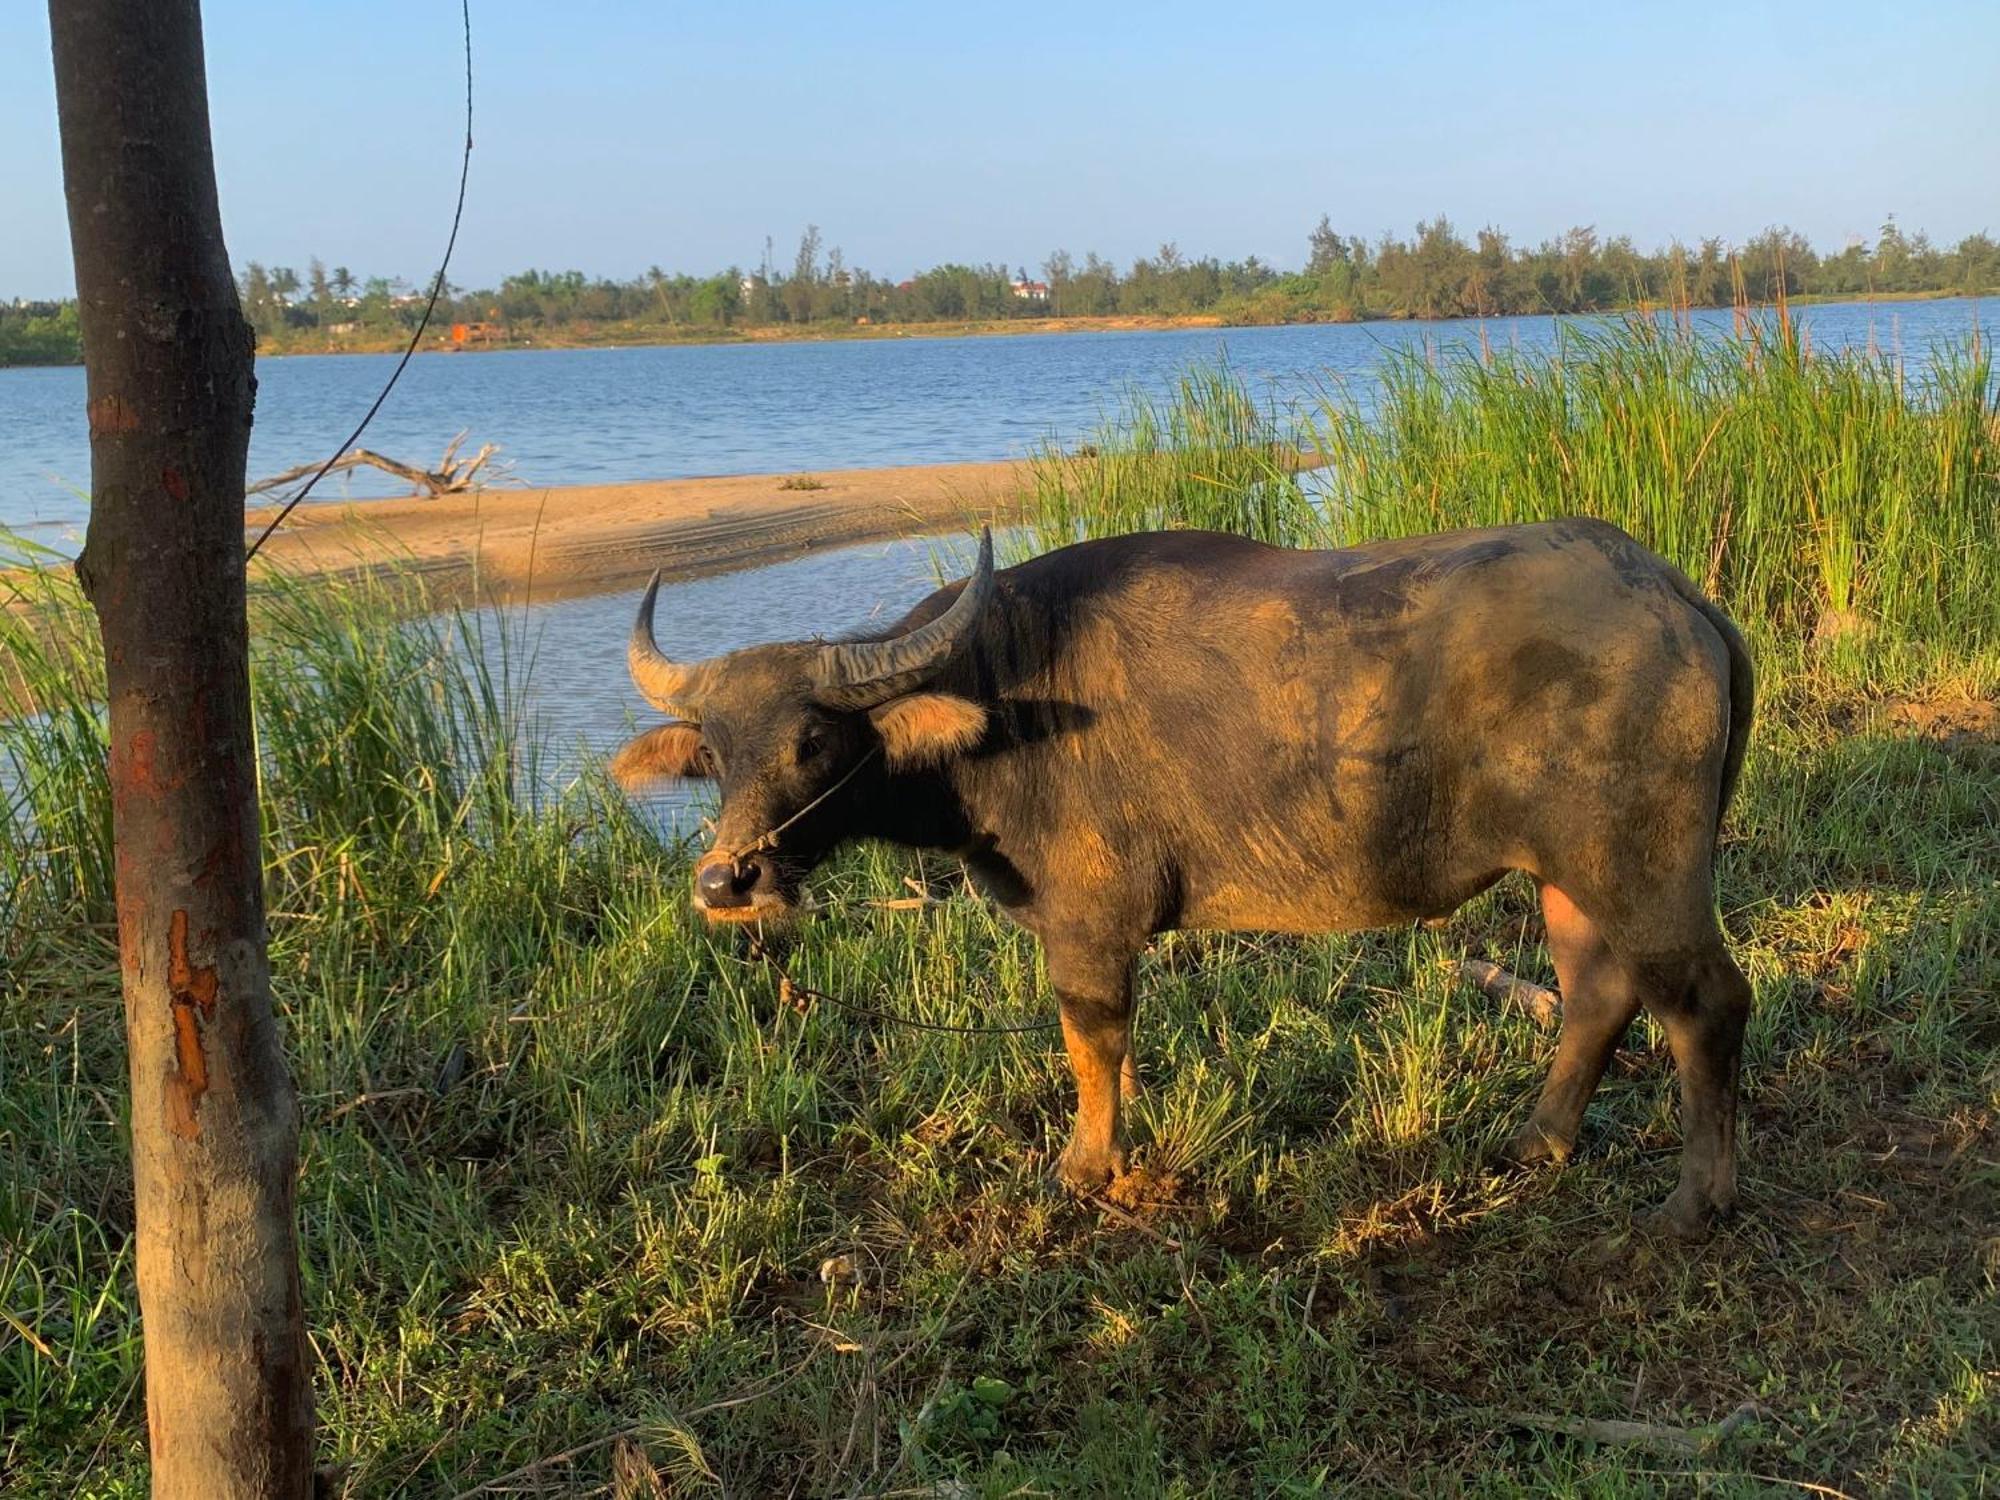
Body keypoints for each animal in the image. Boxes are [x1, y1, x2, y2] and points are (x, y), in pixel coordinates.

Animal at [608, 524, 1752, 1240]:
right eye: (714, 753)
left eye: (811, 741)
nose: (728, 881)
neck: (1002, 697)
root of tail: (1675, 598)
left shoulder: (1088, 926)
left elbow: (1089, 1044)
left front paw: (1084, 1170)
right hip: (1569, 877)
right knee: (1597, 994)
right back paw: (1536, 1144)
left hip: (1642, 868)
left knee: (1706, 1003)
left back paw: (1694, 1205)